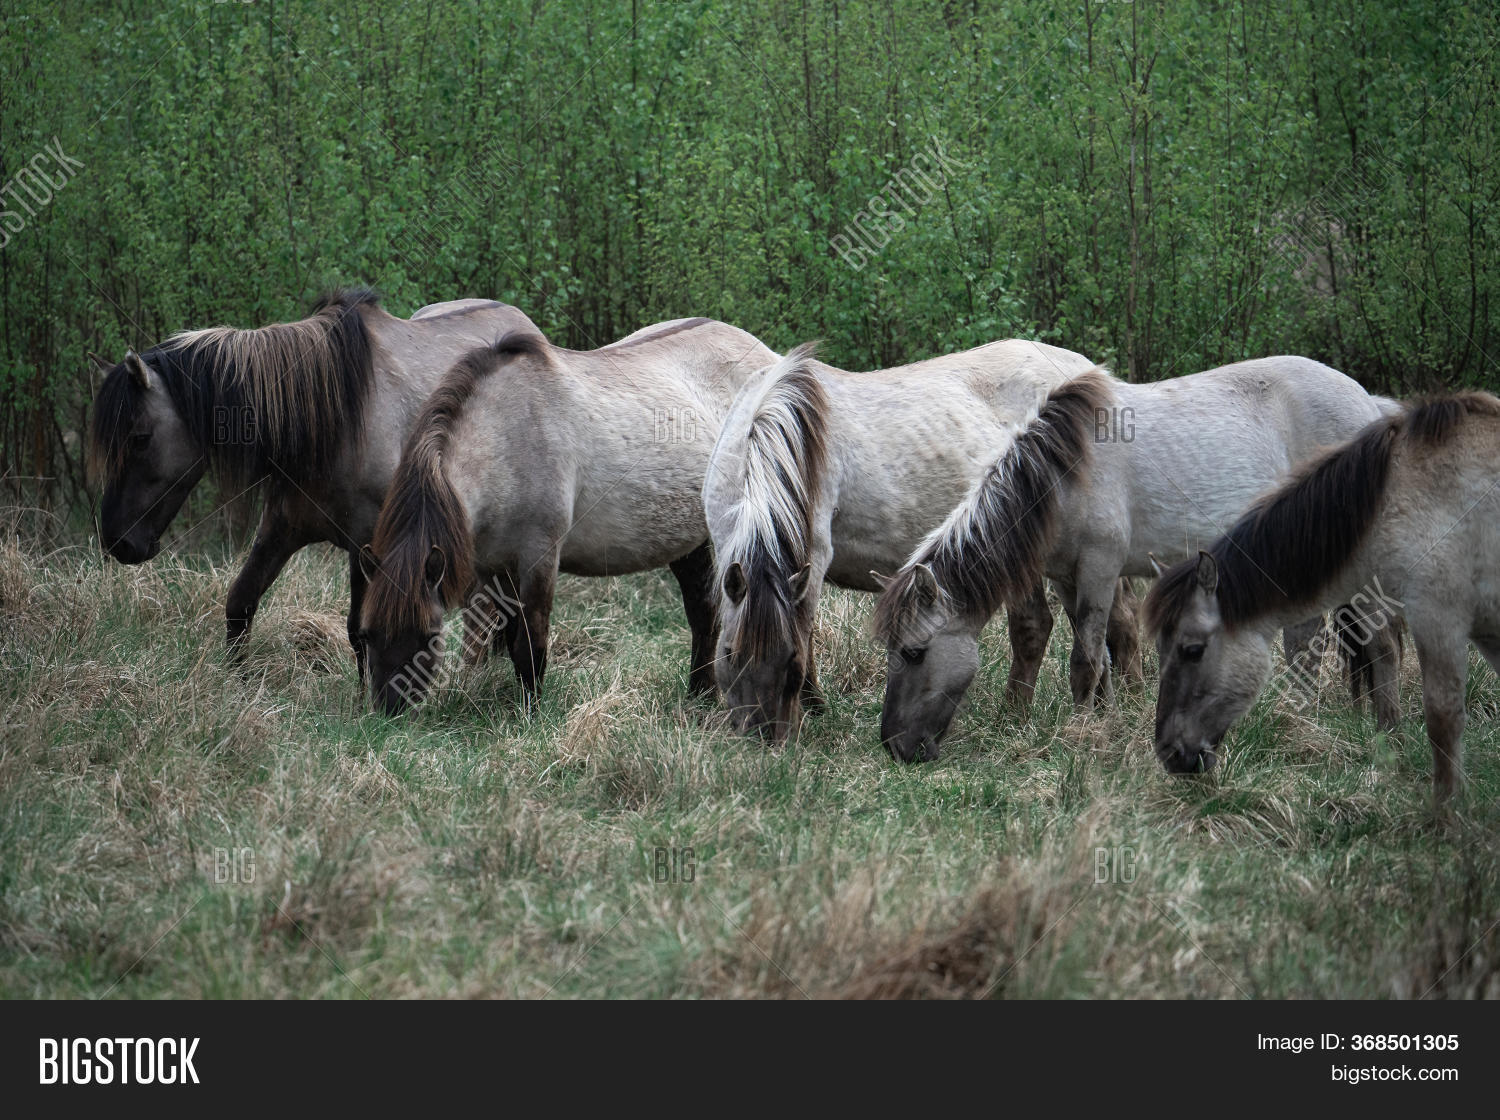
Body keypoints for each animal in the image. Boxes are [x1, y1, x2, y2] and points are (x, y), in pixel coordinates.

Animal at [87, 289, 558, 676]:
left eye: (139, 437)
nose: (117, 542)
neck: (334, 420)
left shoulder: (369, 544)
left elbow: (359, 630)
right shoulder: (280, 529)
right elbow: (240, 601)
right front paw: (237, 681)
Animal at [356, 318, 780, 716]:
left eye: (431, 634)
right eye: (367, 633)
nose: (389, 712)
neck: (505, 436)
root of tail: (771, 357)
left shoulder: (539, 557)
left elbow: (530, 642)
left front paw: (529, 714)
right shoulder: (496, 568)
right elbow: (508, 634)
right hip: (689, 542)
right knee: (703, 613)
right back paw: (699, 694)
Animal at [701, 340, 1143, 742]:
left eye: (788, 658)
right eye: (729, 652)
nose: (759, 735)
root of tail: (1084, 368)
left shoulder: (814, 559)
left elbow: (803, 627)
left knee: (1051, 625)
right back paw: (1106, 706)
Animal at [874, 357, 1402, 762]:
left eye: (914, 652)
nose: (895, 746)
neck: (1064, 476)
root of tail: (1369, 404)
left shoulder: (1099, 570)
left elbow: (1085, 661)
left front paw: (1079, 735)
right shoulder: (1068, 578)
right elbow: (1103, 660)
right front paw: (1103, 721)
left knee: (1380, 645)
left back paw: (1386, 733)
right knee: (1306, 641)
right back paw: (1293, 718)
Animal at [1146, 391, 1500, 801]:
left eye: (1192, 650)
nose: (1169, 753)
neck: (1401, 495)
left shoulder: (1438, 618)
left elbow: (1443, 722)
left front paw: (1446, 813)